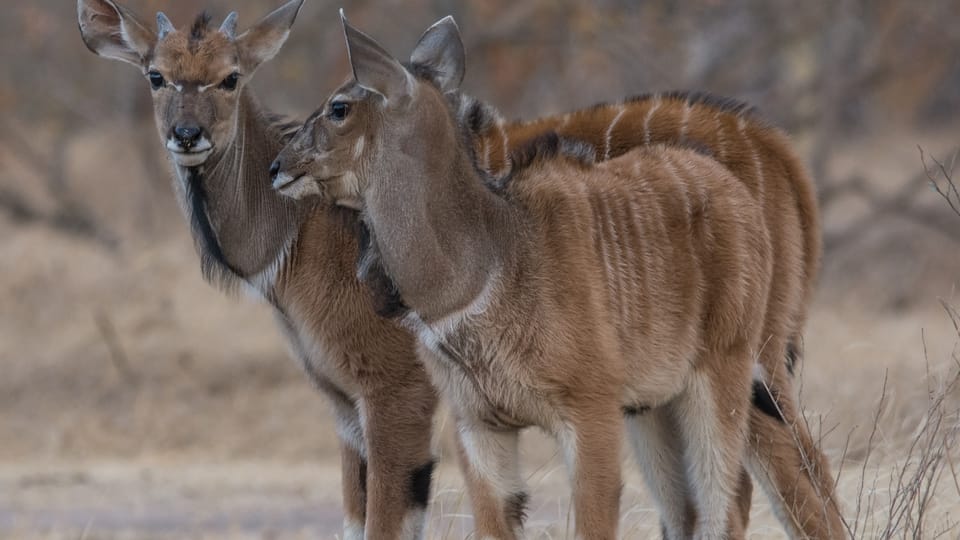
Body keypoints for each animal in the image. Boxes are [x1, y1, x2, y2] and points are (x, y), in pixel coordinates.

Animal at [77, 2, 440, 536]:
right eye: (156, 75)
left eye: (231, 77)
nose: (188, 135)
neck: (305, 227)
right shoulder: (344, 405)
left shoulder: (397, 390)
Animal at [270, 13, 780, 540]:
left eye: (339, 107)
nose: (277, 166)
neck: (496, 258)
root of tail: (734, 190)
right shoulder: (479, 425)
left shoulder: (590, 410)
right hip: (656, 405)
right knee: (689, 509)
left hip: (721, 372)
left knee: (725, 502)